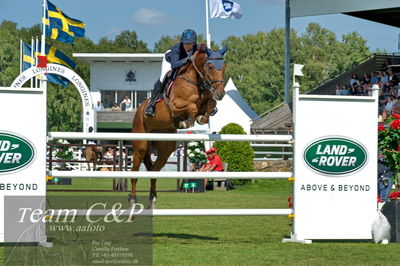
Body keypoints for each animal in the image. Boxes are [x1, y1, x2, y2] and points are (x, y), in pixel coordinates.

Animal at [130, 44, 227, 208]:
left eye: (224, 67)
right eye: (210, 67)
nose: (220, 93)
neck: (197, 81)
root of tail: (140, 109)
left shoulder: (208, 100)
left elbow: (210, 105)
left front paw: (202, 117)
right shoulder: (175, 105)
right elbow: (192, 107)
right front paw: (186, 121)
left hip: (165, 148)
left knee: (154, 170)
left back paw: (153, 200)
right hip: (141, 144)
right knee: (134, 172)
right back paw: (132, 200)